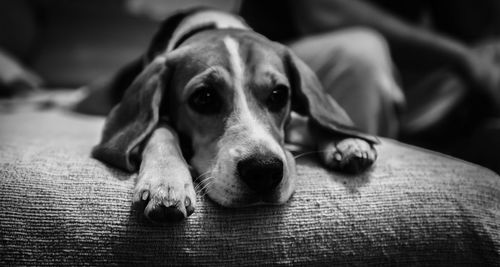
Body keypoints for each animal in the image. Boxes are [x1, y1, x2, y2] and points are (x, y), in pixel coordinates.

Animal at [89, 8, 378, 223]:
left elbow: (309, 121)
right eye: (204, 97)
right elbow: (160, 129)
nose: (264, 170)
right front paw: (166, 181)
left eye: (278, 95)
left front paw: (345, 141)